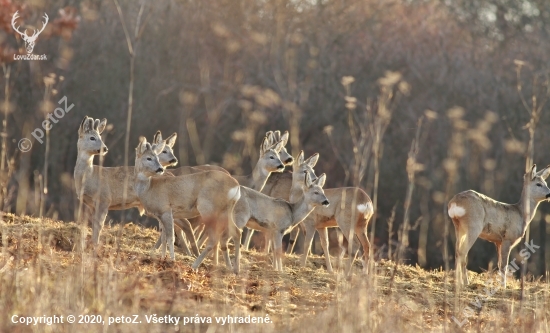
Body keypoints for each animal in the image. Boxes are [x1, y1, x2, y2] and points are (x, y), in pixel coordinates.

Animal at [134, 136, 242, 266]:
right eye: (149, 158)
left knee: (214, 238)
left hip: (208, 209)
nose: (160, 169)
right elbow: (164, 237)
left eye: (156, 157)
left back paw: (195, 265)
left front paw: (172, 260)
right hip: (226, 211)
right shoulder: (161, 215)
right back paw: (233, 267)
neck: (150, 187)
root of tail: (236, 186)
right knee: (235, 232)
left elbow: (170, 237)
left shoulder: (166, 210)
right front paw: (161, 257)